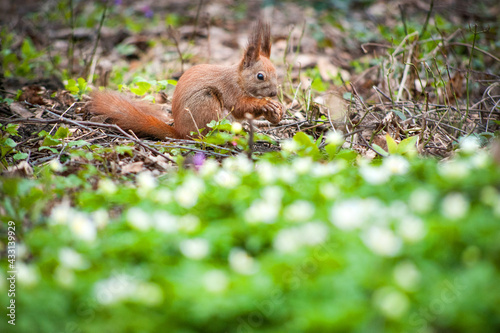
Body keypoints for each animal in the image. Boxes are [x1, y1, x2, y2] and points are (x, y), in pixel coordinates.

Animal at [88, 21, 284, 139]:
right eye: (260, 76)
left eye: (276, 73)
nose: (274, 92)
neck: (239, 79)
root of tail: (180, 132)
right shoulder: (230, 90)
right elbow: (240, 106)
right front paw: (266, 103)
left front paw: (277, 111)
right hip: (206, 102)